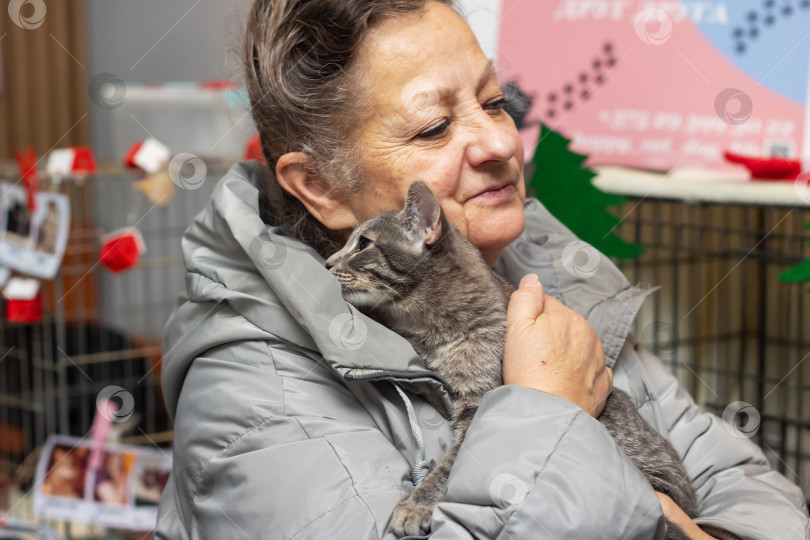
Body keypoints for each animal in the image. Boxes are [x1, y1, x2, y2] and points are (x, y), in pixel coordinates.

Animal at [326, 182, 692, 540]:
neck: (427, 330)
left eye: (363, 244)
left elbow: (450, 465)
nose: (327, 263)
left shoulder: (479, 402)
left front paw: (416, 505)